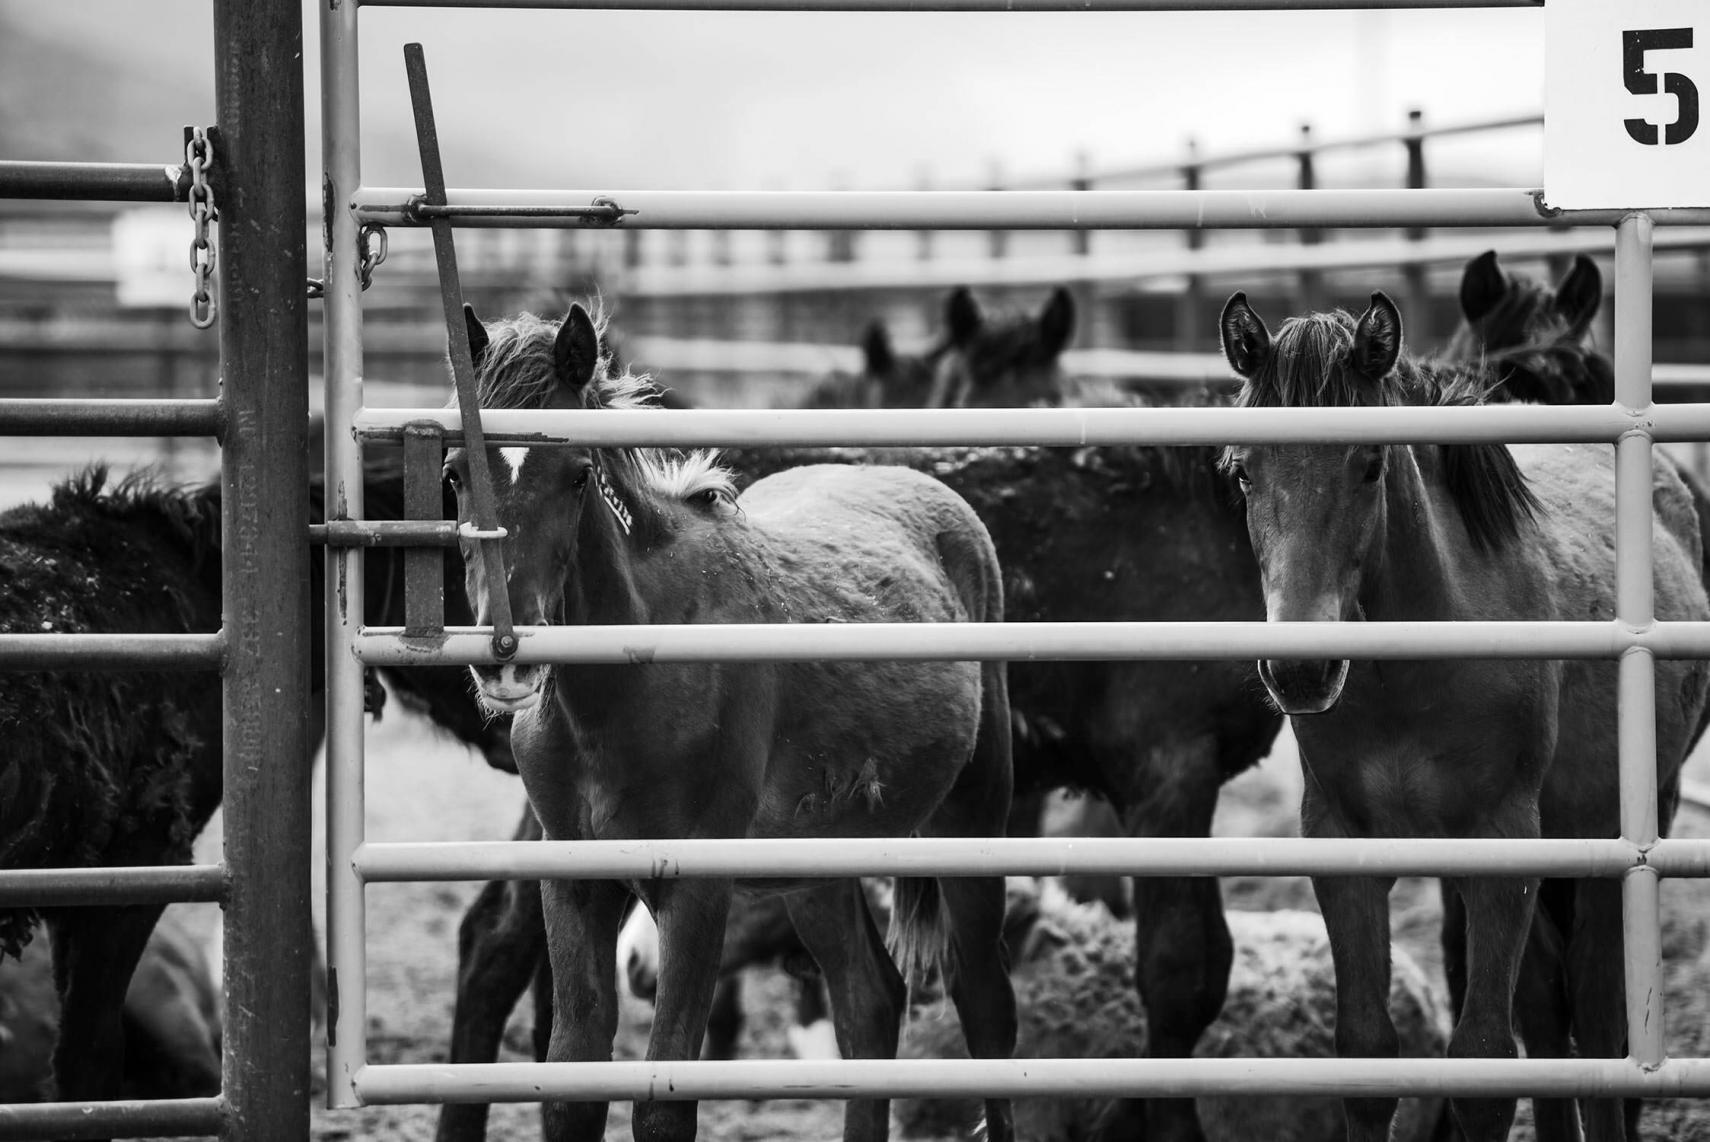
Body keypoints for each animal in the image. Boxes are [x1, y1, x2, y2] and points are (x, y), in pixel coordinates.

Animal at [444, 301, 1018, 1142]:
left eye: (577, 474)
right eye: (455, 472)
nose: (504, 658)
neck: (628, 677)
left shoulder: (697, 891)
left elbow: (664, 1098)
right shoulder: (575, 884)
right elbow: (572, 1085)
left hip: (969, 824)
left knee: (986, 1009)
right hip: (815, 865)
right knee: (869, 1003)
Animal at [1216, 289, 1710, 1142]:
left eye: (1370, 464)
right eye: (1245, 472)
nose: (1301, 671)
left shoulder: (1500, 846)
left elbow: (1482, 1062)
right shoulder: (1341, 845)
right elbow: (1367, 1057)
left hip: (1624, 828)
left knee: (1598, 1017)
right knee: (1549, 1014)